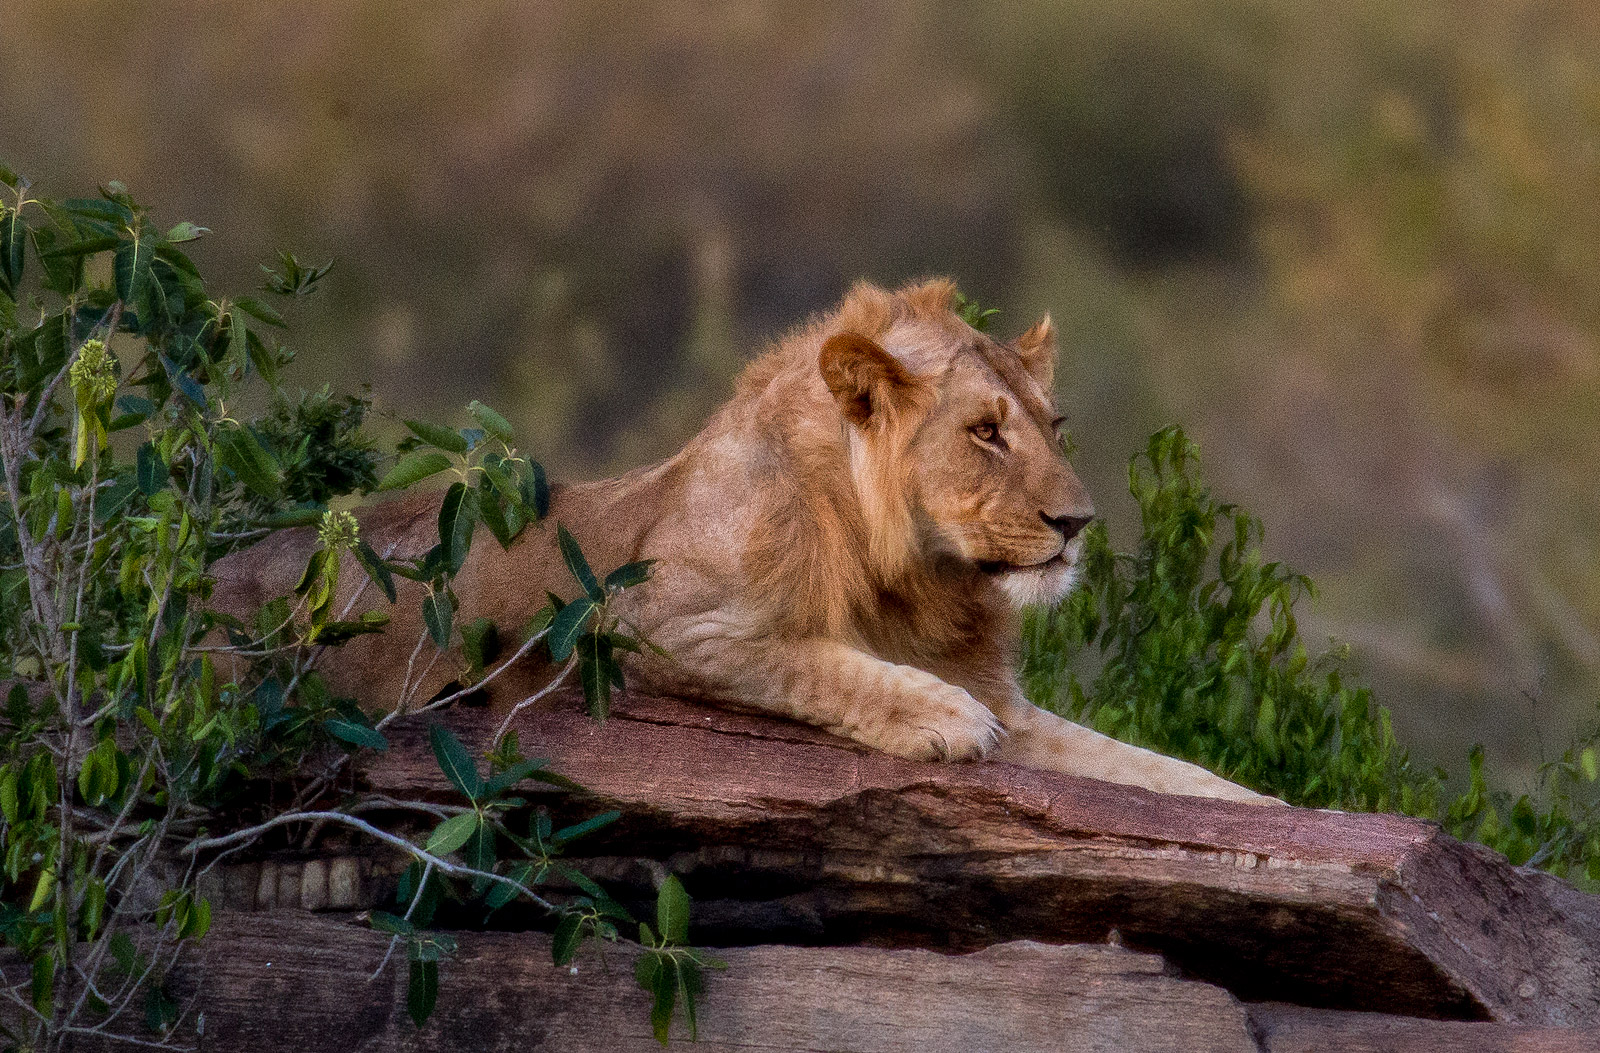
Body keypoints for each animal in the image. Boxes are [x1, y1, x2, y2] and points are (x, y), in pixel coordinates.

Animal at [225, 275, 1267, 800]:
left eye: (1055, 427)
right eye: (984, 430)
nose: (1077, 525)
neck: (917, 576)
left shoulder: (1014, 695)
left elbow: (1169, 773)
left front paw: (1267, 813)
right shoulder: (659, 626)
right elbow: (816, 661)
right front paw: (940, 717)